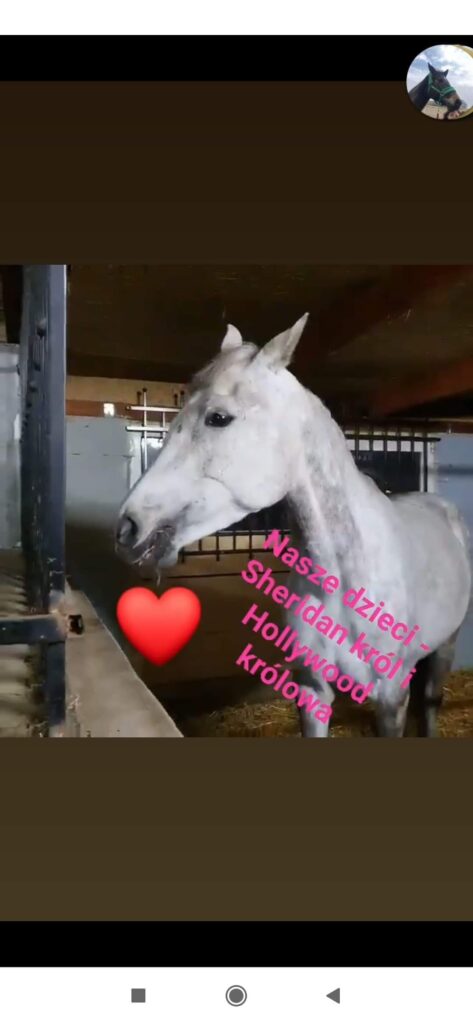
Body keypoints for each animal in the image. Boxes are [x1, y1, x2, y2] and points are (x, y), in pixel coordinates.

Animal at [116, 316, 471, 738]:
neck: (343, 577)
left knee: (431, 701)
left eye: (218, 417)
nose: (128, 527)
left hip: (446, 644)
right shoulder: (312, 689)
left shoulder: (390, 700)